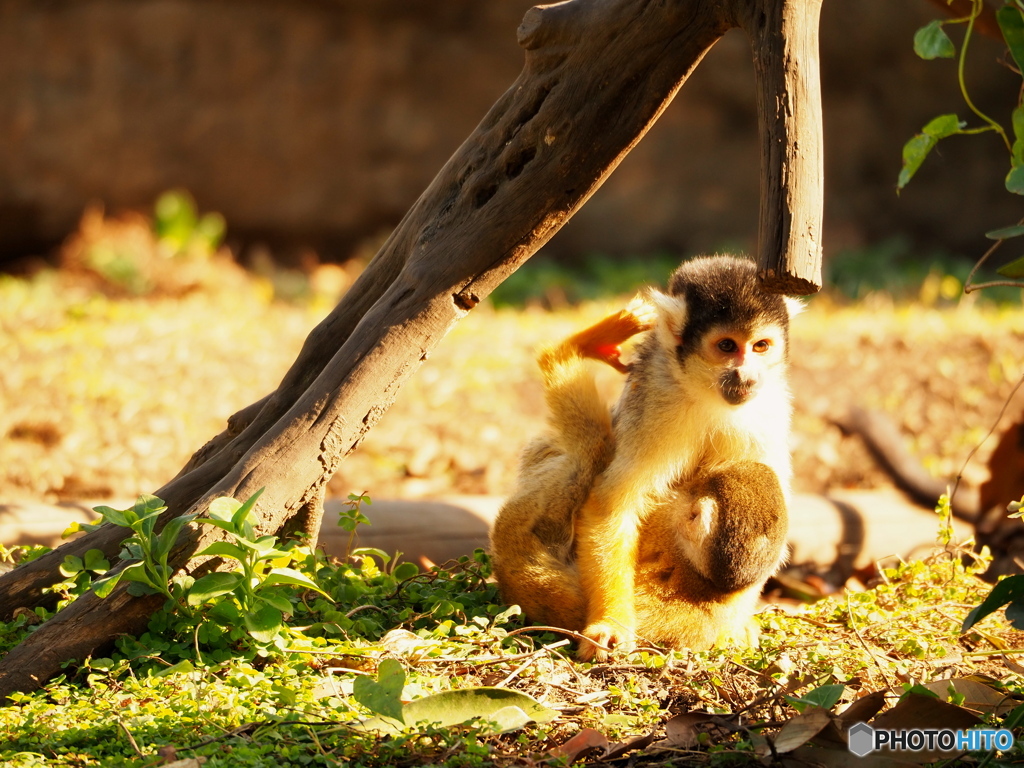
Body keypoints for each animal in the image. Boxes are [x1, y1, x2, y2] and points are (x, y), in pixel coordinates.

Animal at [491, 256, 794, 659]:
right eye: (727, 346)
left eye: (761, 346)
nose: (746, 376)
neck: (704, 391)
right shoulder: (657, 396)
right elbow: (614, 503)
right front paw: (610, 623)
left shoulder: (766, 408)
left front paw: (735, 620)